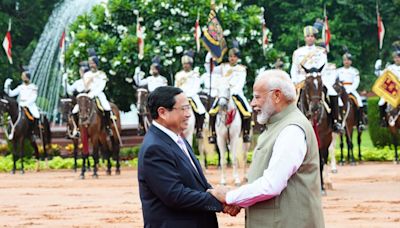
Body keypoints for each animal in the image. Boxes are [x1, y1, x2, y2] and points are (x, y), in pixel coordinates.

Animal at [298, 65, 332, 195]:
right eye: (307, 84)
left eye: (321, 83)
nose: (316, 107)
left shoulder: (322, 140)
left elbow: (320, 162)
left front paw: (321, 187)